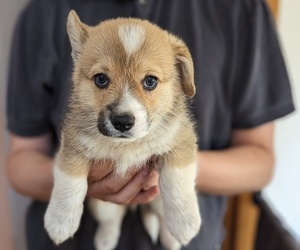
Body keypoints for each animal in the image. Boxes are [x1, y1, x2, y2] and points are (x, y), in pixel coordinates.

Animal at [45, 10, 202, 250]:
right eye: (101, 79)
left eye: (150, 81)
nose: (122, 122)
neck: (126, 146)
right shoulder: (73, 145)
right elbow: (69, 182)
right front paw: (59, 221)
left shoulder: (180, 141)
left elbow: (177, 183)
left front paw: (186, 223)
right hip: (102, 205)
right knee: (113, 217)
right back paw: (105, 239)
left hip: (156, 199)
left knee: (160, 214)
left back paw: (171, 239)